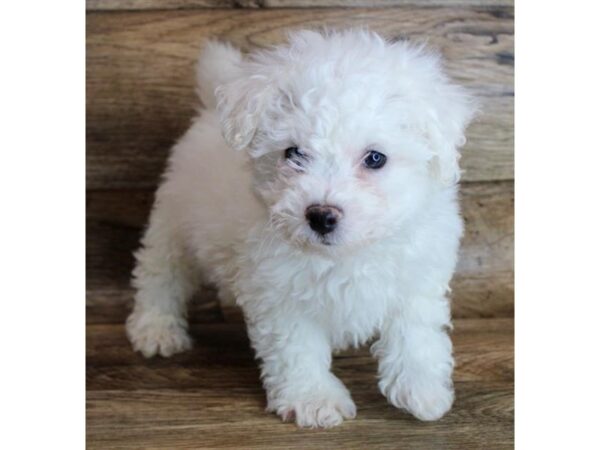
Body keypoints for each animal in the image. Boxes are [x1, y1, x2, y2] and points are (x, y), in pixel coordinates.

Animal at [125, 29, 474, 428]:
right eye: (293, 153)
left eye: (375, 158)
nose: (321, 215)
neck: (346, 255)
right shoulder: (279, 294)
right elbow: (296, 348)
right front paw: (314, 399)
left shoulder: (417, 274)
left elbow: (415, 331)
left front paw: (423, 389)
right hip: (175, 222)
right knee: (161, 274)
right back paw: (156, 328)